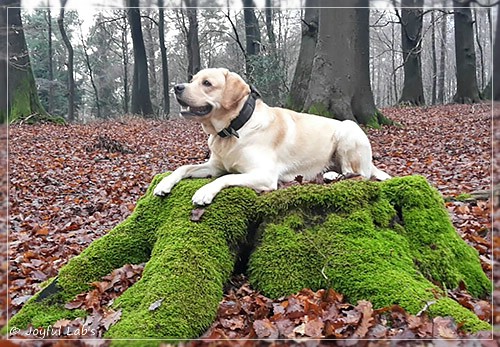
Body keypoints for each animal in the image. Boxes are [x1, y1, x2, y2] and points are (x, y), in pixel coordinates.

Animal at [152, 67, 390, 207]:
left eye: (207, 83)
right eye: (193, 80)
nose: (177, 87)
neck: (234, 128)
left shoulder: (264, 175)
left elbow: (225, 178)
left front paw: (204, 192)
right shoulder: (215, 166)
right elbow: (184, 167)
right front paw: (164, 183)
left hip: (348, 129)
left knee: (359, 174)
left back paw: (334, 176)